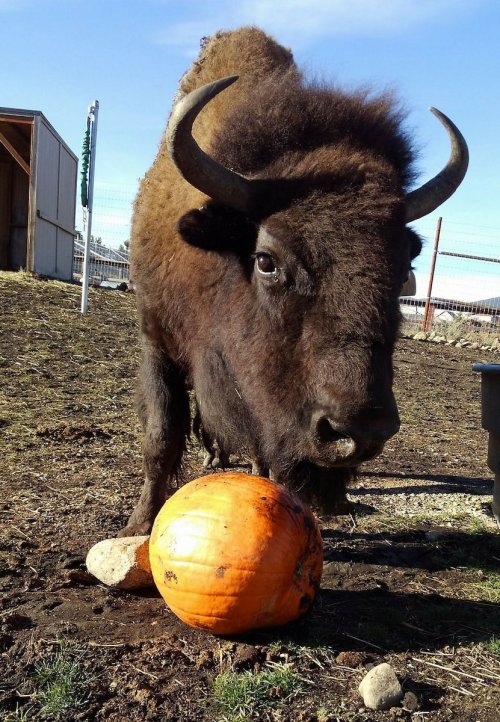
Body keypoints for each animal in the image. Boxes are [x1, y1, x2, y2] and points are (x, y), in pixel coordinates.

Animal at [121, 27, 468, 535]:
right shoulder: (155, 340)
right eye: (266, 260)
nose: (358, 432)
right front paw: (139, 526)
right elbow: (161, 437)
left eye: (406, 263)